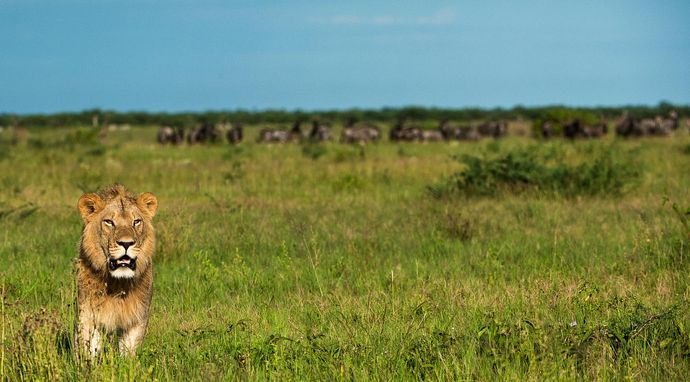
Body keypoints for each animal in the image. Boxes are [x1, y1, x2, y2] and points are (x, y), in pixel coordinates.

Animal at [74, 185, 158, 358]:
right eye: (109, 222)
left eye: (136, 222)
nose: (126, 243)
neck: (117, 283)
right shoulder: (88, 315)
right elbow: (87, 350)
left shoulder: (137, 318)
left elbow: (129, 352)